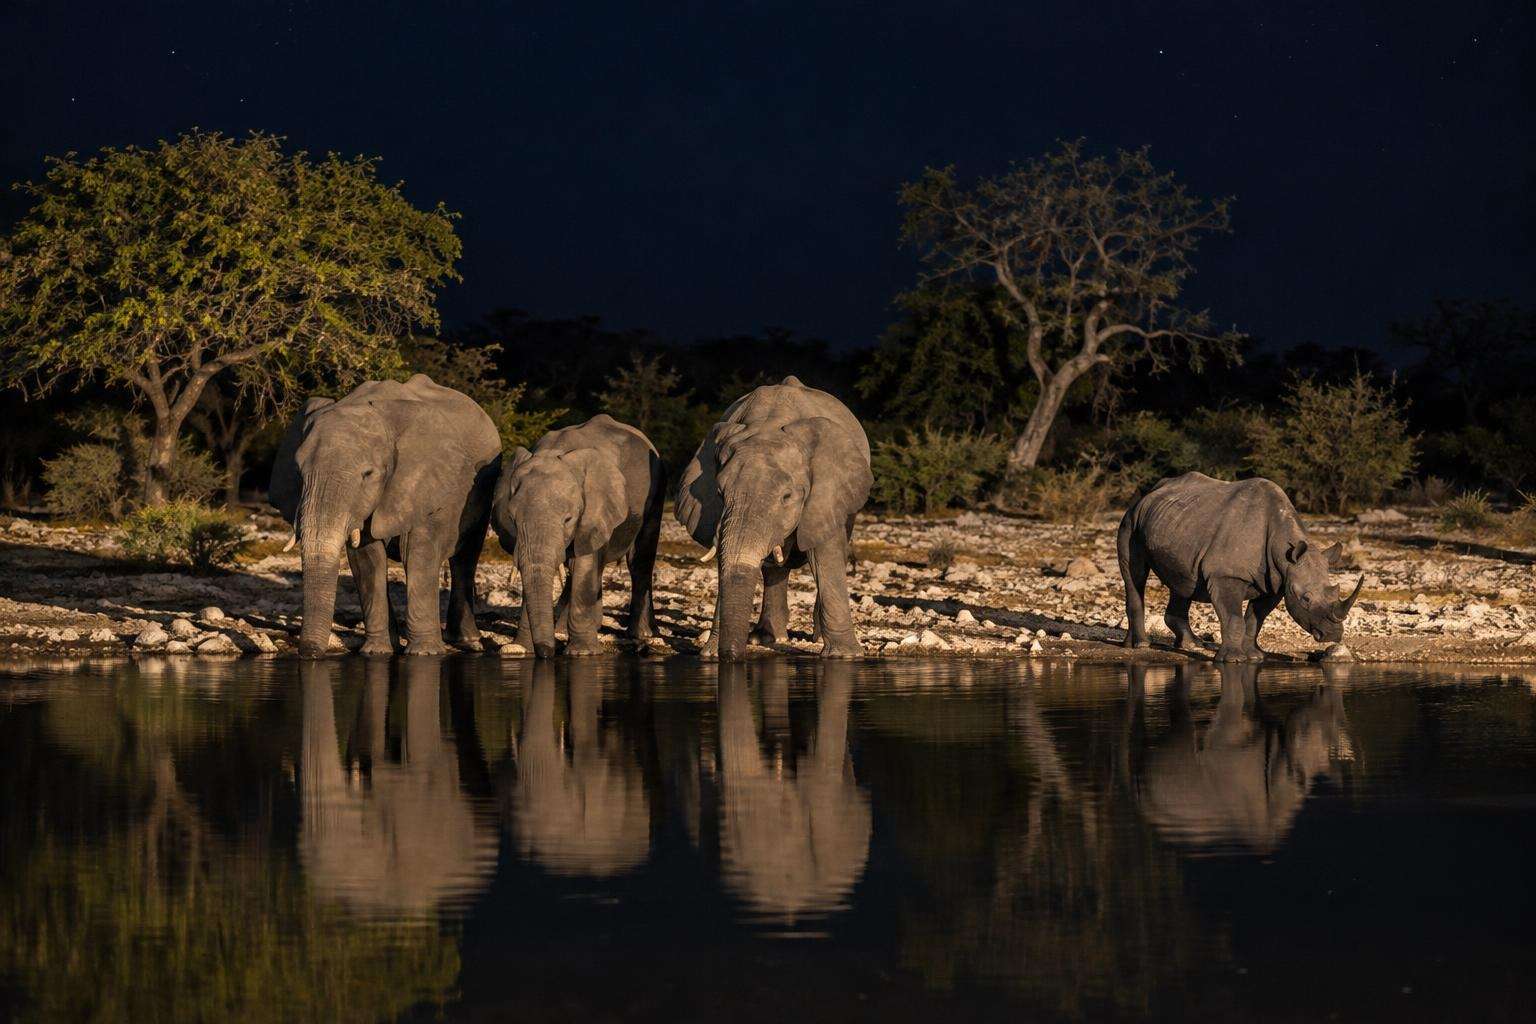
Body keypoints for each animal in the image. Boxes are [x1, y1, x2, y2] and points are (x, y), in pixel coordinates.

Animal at [270, 374, 502, 657]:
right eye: (299, 474)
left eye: (367, 474)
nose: (309, 653)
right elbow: (367, 560)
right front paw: (377, 652)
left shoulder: (425, 483)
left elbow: (418, 552)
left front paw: (425, 654)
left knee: (466, 558)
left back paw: (468, 642)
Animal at [491, 414, 664, 658]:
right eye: (512, 518)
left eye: (568, 519)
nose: (547, 653)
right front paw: (523, 649)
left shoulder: (595, 509)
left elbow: (584, 564)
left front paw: (582, 653)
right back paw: (567, 629)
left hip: (656, 490)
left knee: (639, 560)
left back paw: (644, 634)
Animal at [676, 376, 872, 660]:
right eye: (721, 494)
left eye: (787, 497)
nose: (732, 657)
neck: (768, 425)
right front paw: (710, 655)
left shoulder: (828, 491)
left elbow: (825, 556)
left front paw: (844, 657)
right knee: (774, 568)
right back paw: (767, 638)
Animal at [1116, 472, 1362, 661]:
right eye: (1306, 599)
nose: (1333, 635)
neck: (1284, 551)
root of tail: (1148, 493)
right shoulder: (1226, 576)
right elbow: (1233, 618)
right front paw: (1233, 660)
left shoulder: (1275, 581)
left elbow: (1255, 618)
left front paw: (1255, 656)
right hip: (1130, 520)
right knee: (1135, 575)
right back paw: (1140, 645)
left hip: (1177, 523)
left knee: (1183, 581)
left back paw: (1192, 645)